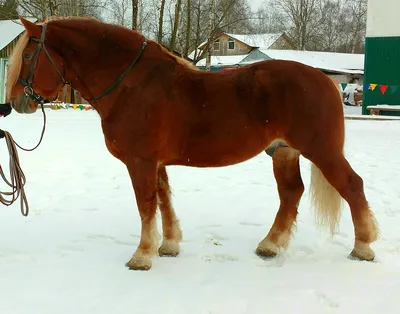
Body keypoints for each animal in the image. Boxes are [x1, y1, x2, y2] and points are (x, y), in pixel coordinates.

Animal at [7, 15, 380, 270]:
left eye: (26, 56)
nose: (14, 102)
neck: (131, 85)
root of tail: (324, 80)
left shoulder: (140, 162)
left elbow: (146, 205)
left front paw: (142, 256)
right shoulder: (155, 162)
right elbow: (163, 200)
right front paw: (168, 245)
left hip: (323, 152)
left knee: (353, 185)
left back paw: (362, 248)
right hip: (284, 152)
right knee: (291, 193)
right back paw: (270, 245)